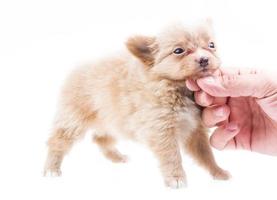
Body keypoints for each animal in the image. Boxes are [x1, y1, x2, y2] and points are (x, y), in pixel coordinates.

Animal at [43, 21, 229, 188]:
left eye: (211, 45)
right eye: (178, 51)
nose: (204, 59)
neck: (178, 88)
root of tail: (76, 69)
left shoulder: (195, 130)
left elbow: (206, 154)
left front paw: (217, 171)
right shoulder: (162, 131)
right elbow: (172, 156)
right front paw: (176, 178)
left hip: (113, 121)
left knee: (100, 138)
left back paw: (116, 157)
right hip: (74, 121)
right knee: (57, 141)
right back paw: (51, 168)